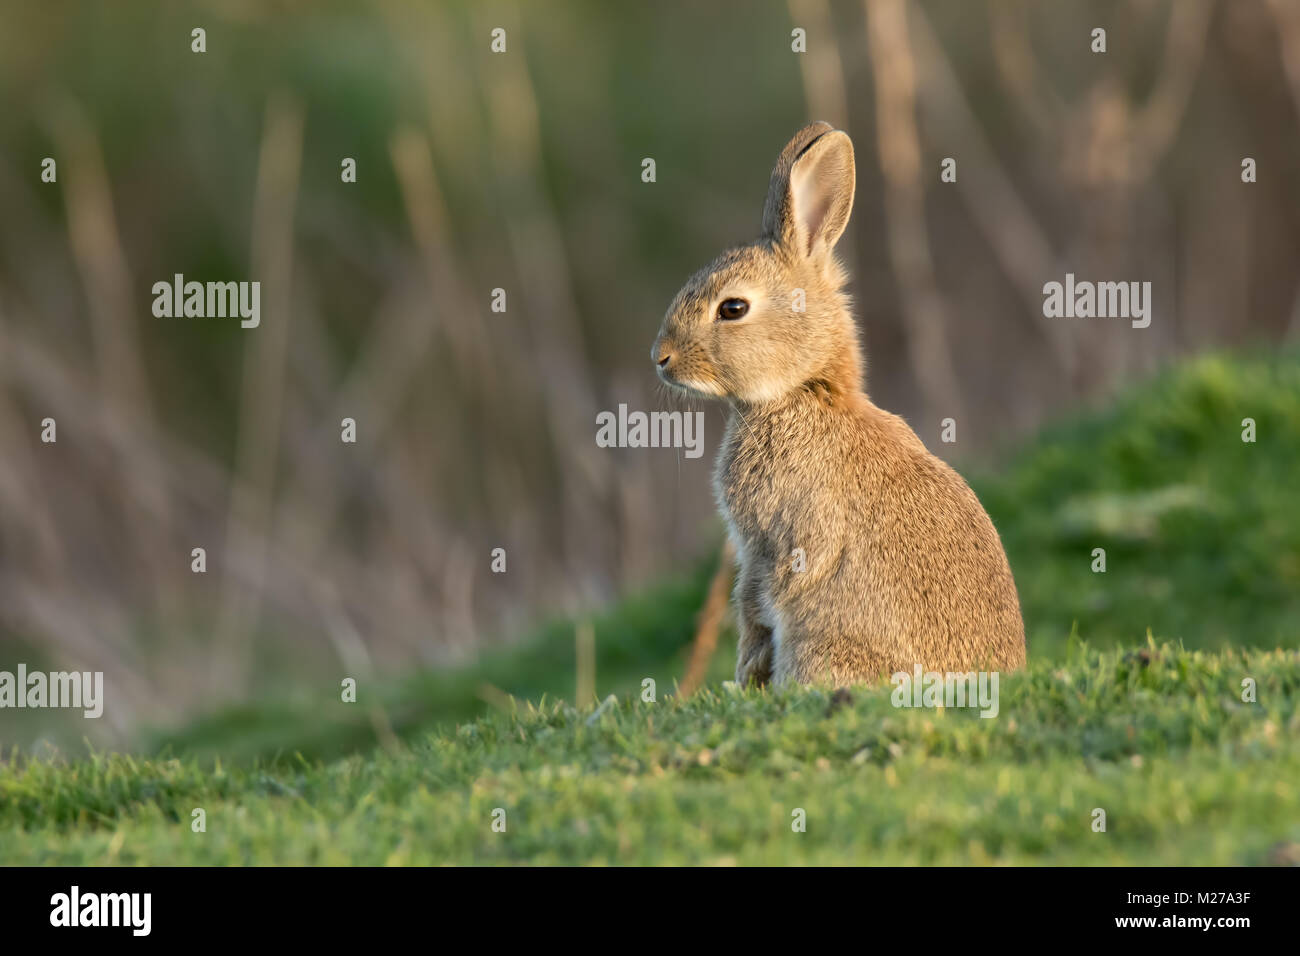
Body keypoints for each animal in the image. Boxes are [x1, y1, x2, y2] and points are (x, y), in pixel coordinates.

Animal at [650, 121, 1024, 686]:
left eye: (732, 308)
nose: (661, 358)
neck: (805, 391)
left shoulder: (772, 540)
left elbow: (759, 601)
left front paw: (747, 674)